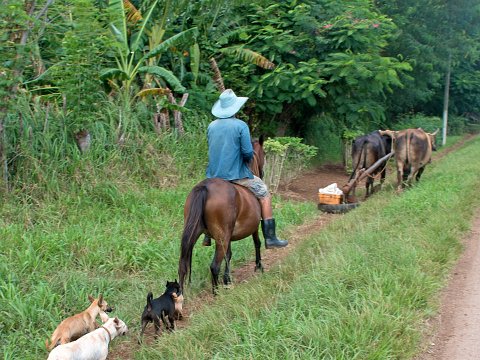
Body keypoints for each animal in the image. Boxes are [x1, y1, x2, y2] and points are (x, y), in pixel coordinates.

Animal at [178, 137, 266, 292]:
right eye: (264, 154)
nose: (262, 173)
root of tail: (205, 187)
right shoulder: (253, 227)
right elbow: (257, 243)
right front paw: (258, 266)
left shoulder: (228, 235)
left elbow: (228, 255)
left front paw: (227, 280)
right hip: (221, 236)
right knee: (214, 266)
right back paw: (216, 292)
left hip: (199, 231)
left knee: (183, 265)